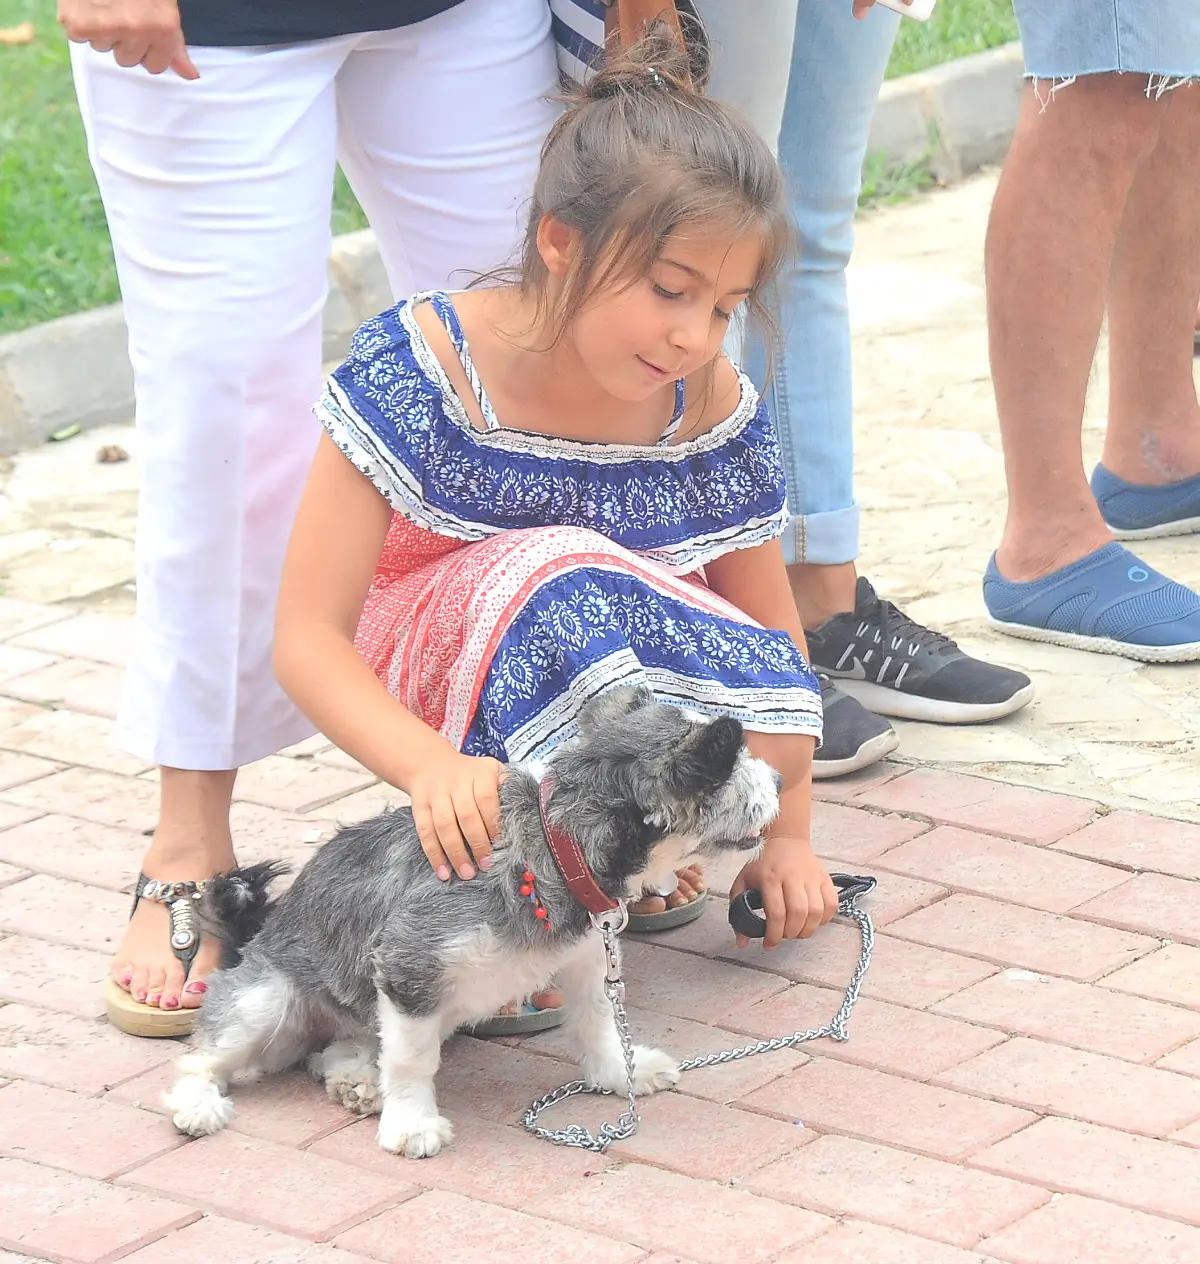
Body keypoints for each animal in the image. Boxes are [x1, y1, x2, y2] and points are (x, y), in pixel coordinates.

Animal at [165, 687, 778, 1157]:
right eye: (738, 767)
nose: (777, 776)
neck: (552, 846)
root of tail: (256, 939)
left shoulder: (585, 959)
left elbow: (598, 1022)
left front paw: (616, 1073)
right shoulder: (409, 969)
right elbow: (412, 1061)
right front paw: (411, 1124)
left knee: (334, 1048)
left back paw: (354, 1079)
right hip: (264, 1003)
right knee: (200, 1060)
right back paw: (200, 1104)